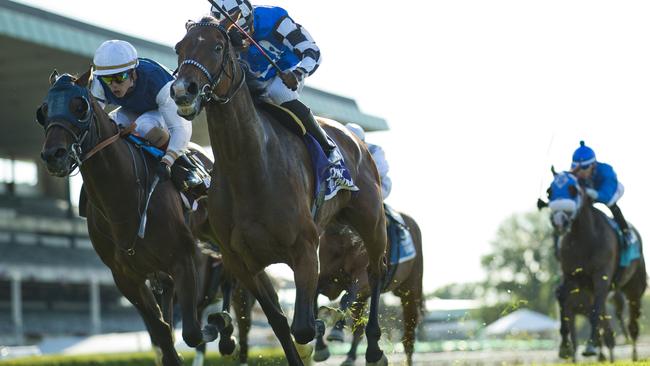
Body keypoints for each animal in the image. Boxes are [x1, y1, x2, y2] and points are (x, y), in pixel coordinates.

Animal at [36, 70, 208, 364]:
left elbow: (193, 333)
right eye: (44, 110)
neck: (123, 198)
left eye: (80, 106)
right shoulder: (126, 277)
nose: (53, 155)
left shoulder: (185, 258)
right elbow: (163, 335)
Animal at [170, 17, 388, 366]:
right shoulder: (243, 262)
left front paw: (321, 326)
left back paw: (374, 347)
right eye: (180, 47)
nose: (182, 90)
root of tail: (357, 139)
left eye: (217, 47)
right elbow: (280, 322)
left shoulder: (304, 248)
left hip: (371, 220)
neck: (249, 170)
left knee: (376, 270)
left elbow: (303, 327)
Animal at [544, 172, 644, 360]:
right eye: (549, 191)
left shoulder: (601, 277)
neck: (584, 238)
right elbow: (562, 296)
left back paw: (633, 356)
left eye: (573, 189)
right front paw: (564, 347)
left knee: (632, 326)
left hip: (635, 289)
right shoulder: (571, 275)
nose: (559, 221)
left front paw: (590, 346)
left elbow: (595, 310)